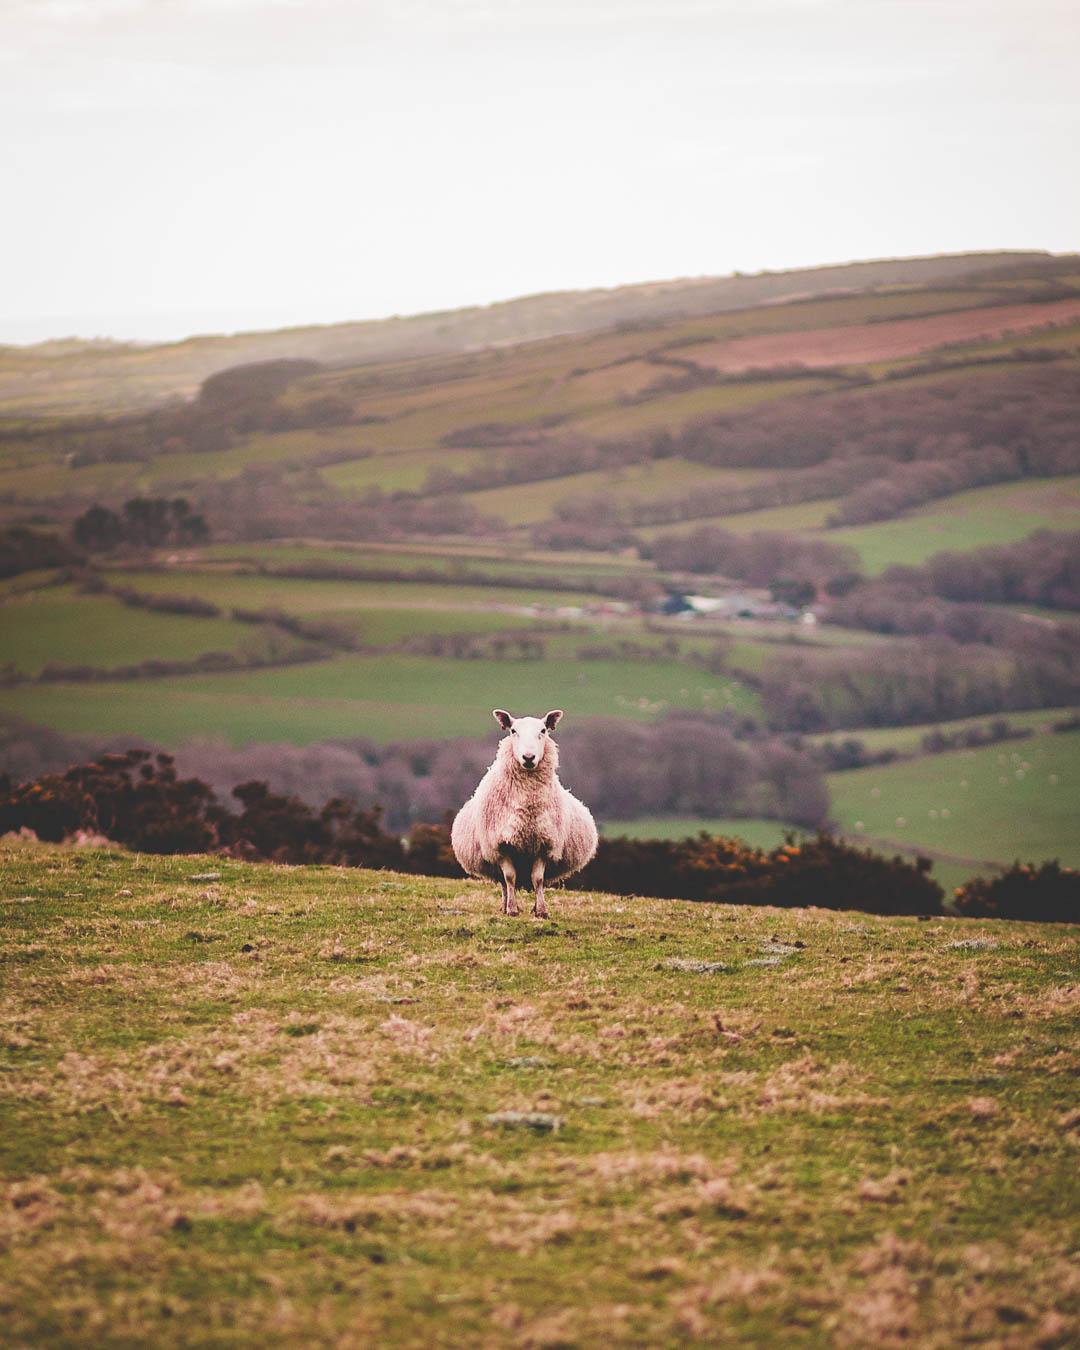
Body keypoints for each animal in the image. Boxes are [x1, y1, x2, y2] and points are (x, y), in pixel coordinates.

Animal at [448, 707, 599, 918]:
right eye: (513, 731)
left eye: (543, 731)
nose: (528, 758)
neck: (528, 807)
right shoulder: (501, 846)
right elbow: (510, 877)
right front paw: (512, 909)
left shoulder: (544, 844)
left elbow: (538, 880)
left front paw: (541, 911)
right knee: (504, 883)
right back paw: (505, 906)